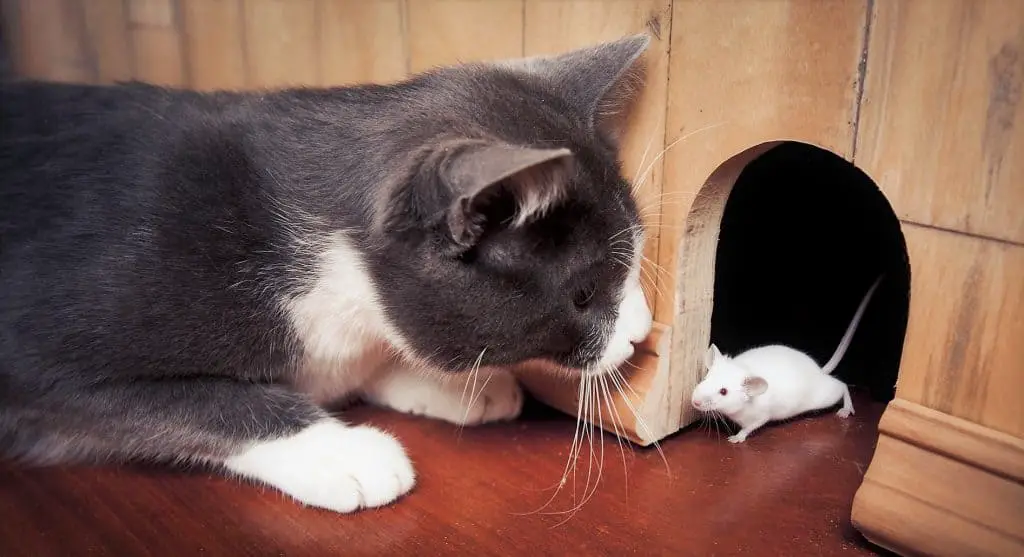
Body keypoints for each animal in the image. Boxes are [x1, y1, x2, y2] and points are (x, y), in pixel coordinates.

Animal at [0, 33, 655, 513]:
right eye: (584, 294)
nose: (642, 333)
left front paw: (441, 383)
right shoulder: (41, 361)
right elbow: (197, 401)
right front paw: (339, 452)